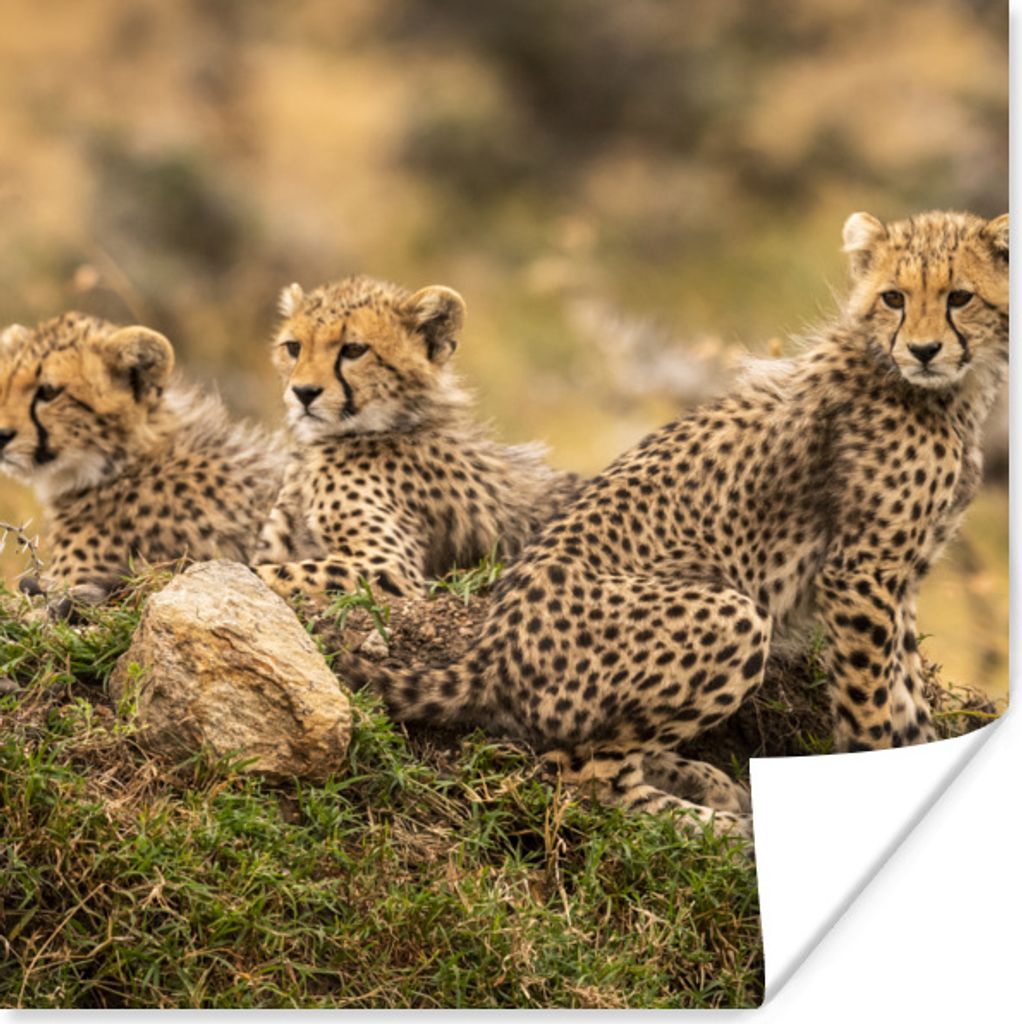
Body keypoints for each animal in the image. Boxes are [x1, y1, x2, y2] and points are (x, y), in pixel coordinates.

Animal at [325, 210, 1008, 838]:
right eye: (894, 297)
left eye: (959, 297)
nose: (923, 350)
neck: (949, 392)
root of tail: (489, 652)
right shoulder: (859, 575)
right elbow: (873, 706)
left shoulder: (900, 578)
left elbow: (907, 695)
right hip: (733, 616)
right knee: (585, 771)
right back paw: (719, 830)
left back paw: (703, 782)